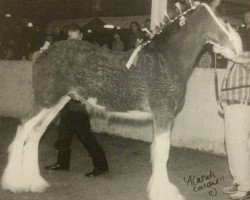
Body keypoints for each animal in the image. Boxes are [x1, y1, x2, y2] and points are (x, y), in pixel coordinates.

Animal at [1, 3, 240, 200]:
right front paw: (162, 192)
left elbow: (157, 151)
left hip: (58, 102)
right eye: (225, 20)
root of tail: (42, 53)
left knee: (35, 134)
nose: (238, 49)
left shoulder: (162, 116)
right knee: (23, 129)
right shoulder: (163, 114)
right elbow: (162, 152)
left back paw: (34, 182)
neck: (165, 61)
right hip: (46, 100)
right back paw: (14, 183)